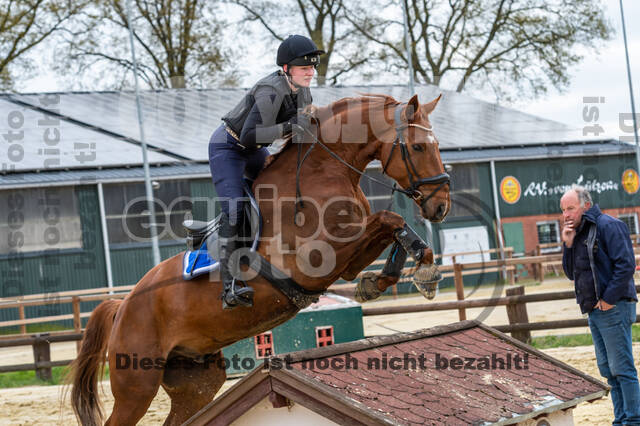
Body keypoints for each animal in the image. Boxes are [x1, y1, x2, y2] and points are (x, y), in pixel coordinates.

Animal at [69, 92, 450, 422]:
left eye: (437, 146)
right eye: (418, 146)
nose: (441, 205)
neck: (324, 171)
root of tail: (122, 306)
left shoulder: (348, 260)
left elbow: (394, 227)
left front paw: (398, 276)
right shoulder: (316, 260)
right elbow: (391, 219)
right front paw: (418, 272)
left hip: (196, 381)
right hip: (137, 385)